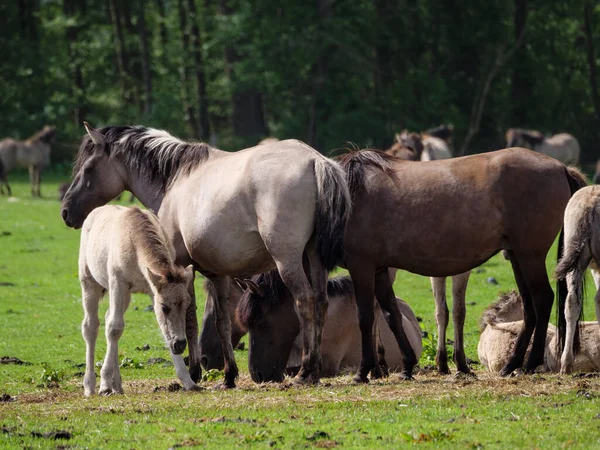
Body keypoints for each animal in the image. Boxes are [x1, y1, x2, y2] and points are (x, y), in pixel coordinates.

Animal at [77, 206, 193, 396]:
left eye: (187, 305)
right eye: (164, 307)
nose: (180, 345)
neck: (134, 240)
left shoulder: (152, 290)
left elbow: (163, 329)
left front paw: (188, 380)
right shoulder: (118, 282)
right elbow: (114, 328)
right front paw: (104, 383)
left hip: (126, 295)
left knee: (109, 318)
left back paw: (117, 385)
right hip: (90, 283)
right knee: (91, 326)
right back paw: (91, 385)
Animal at [338, 148, 584, 384]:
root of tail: (561, 167)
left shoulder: (363, 266)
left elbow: (366, 316)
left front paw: (364, 372)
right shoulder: (380, 269)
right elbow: (397, 314)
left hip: (530, 256)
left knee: (542, 300)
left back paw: (529, 363)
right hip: (518, 257)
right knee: (529, 305)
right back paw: (511, 365)